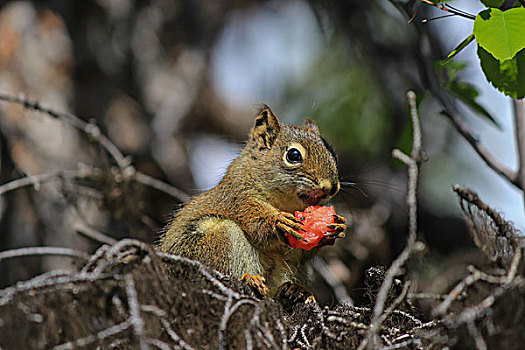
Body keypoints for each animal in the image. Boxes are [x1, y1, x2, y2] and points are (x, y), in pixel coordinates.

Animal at [158, 104, 346, 296]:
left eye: (331, 153)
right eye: (293, 155)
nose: (331, 187)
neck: (284, 203)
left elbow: (299, 251)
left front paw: (337, 227)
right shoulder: (239, 197)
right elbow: (255, 222)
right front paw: (278, 221)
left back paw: (296, 291)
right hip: (215, 243)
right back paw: (251, 279)